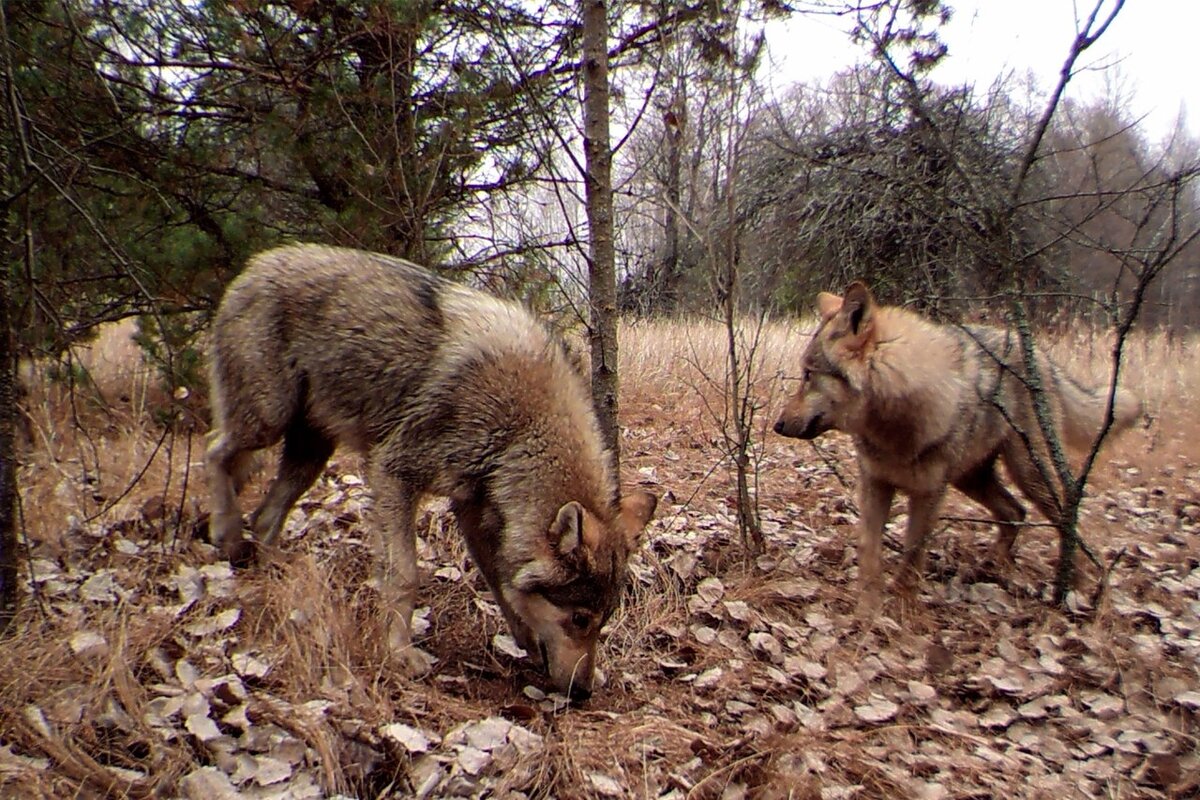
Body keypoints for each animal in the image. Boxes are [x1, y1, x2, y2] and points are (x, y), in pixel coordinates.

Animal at [206, 244, 657, 700]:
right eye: (580, 619)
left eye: (602, 622)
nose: (583, 691)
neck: (521, 430)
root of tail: (258, 263)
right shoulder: (393, 473)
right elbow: (405, 576)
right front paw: (400, 653)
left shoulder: (473, 511)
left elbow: (504, 588)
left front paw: (527, 644)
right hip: (268, 421)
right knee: (212, 451)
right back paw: (225, 532)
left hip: (310, 453)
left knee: (264, 514)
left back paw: (268, 572)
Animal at [772, 281, 1137, 614]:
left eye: (808, 375)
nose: (777, 425)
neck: (896, 425)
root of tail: (1042, 357)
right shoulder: (875, 484)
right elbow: (870, 554)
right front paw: (866, 615)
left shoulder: (930, 493)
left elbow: (912, 557)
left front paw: (903, 613)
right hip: (972, 478)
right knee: (1015, 512)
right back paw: (988, 568)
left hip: (1026, 472)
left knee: (1066, 518)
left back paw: (1076, 587)